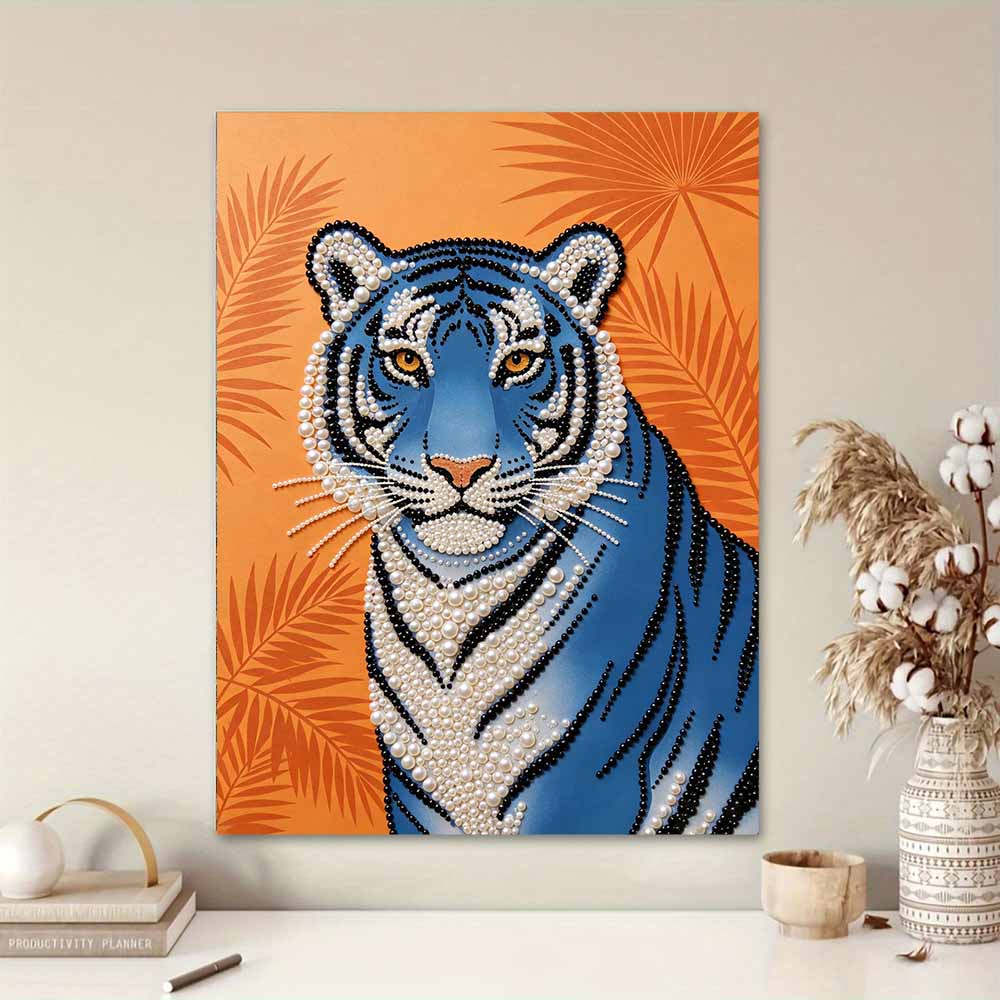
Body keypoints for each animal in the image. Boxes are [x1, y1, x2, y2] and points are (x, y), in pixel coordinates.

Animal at [279, 220, 759, 835]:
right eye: (407, 361)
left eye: (517, 363)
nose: (461, 468)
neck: (450, 592)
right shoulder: (415, 796)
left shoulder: (586, 778)